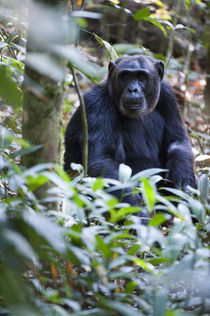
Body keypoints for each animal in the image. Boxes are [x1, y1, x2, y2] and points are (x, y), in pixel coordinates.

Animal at [63, 55, 196, 215]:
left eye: (141, 77)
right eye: (125, 76)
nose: (132, 89)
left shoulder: (167, 95)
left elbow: (177, 140)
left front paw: (182, 180)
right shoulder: (96, 105)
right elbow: (102, 162)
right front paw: (138, 214)